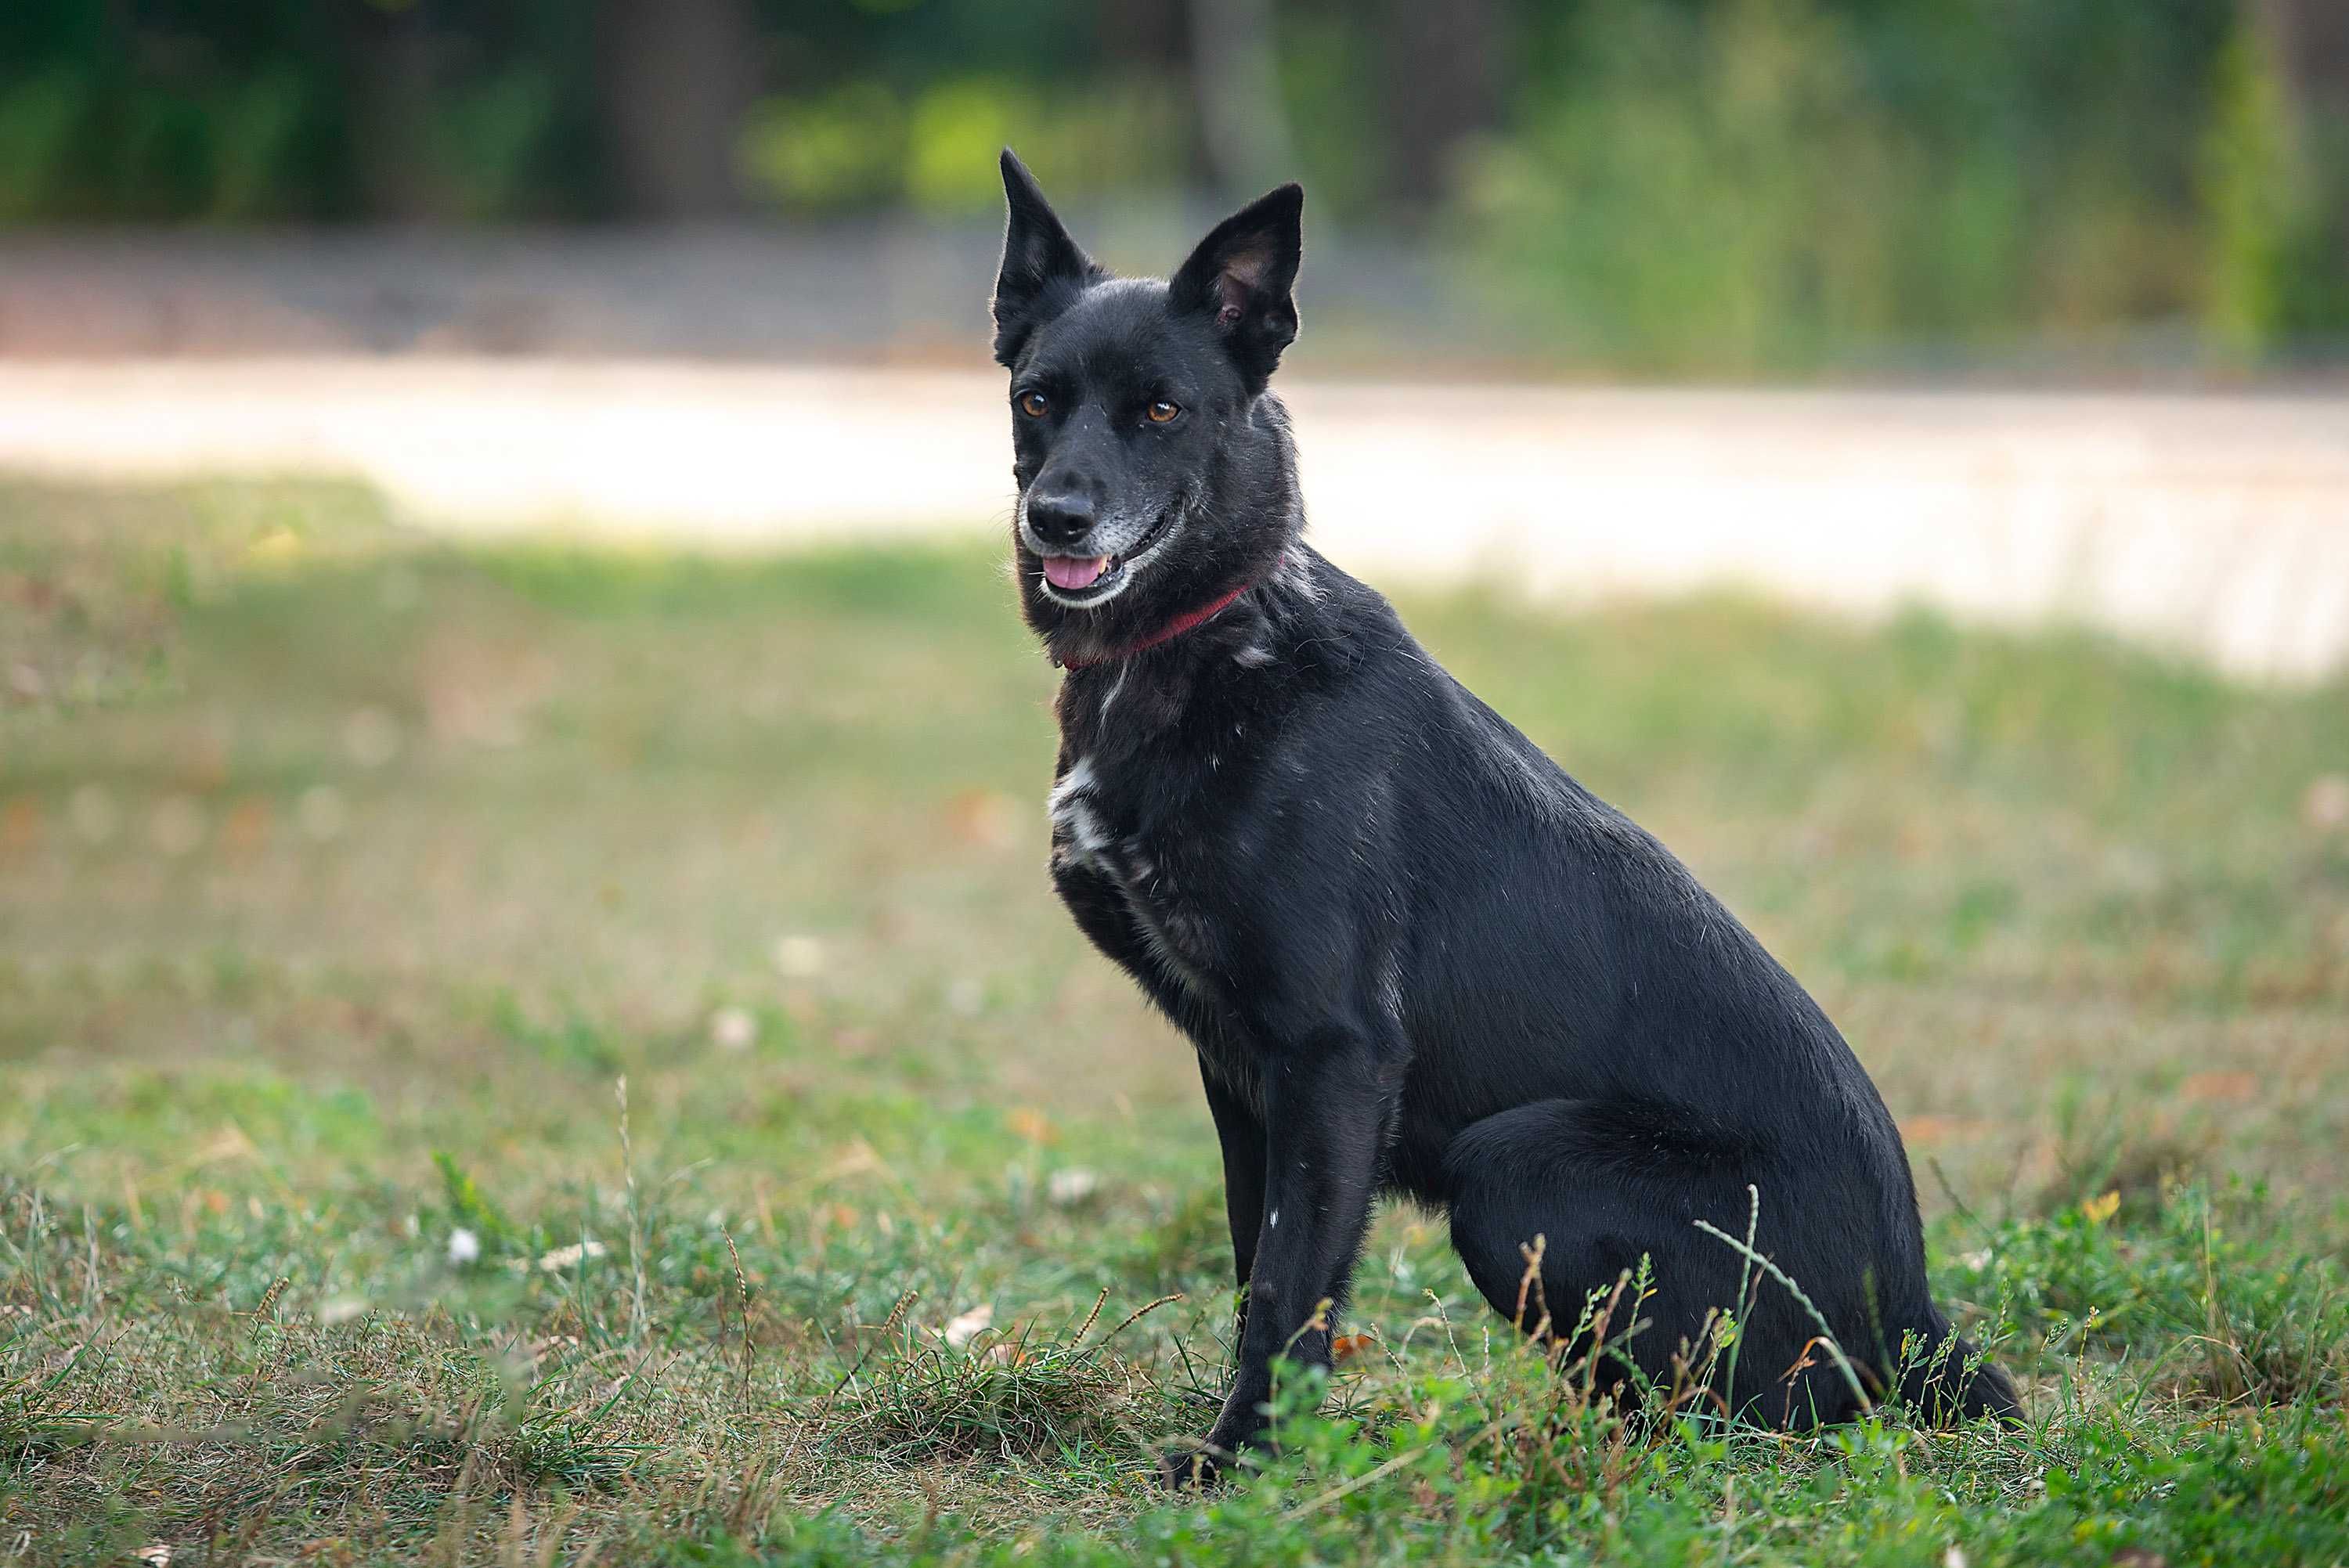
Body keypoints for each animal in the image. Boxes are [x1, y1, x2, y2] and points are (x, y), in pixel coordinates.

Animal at [991, 150, 2020, 1483]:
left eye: (1161, 410)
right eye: (1037, 399)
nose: (1056, 517)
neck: (1214, 639)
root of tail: (1913, 1317)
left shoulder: (1335, 1057)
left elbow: (1287, 1289)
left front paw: (1242, 1464)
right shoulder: (1242, 1077)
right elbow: (1255, 1266)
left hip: (1515, 1166)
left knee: (1753, 1417)